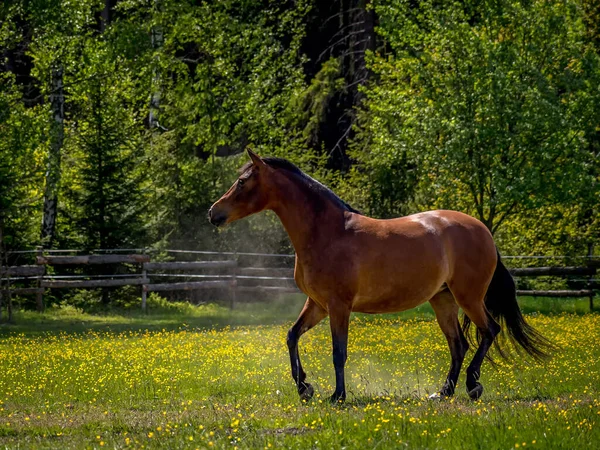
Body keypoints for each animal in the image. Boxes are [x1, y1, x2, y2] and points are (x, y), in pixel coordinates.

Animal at [209, 149, 552, 402]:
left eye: (242, 181)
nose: (214, 213)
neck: (328, 233)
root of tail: (483, 231)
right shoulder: (317, 304)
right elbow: (292, 335)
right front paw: (305, 388)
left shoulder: (338, 306)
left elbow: (338, 352)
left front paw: (337, 396)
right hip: (443, 300)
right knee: (459, 345)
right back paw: (443, 392)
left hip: (469, 297)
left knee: (488, 331)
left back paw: (472, 386)